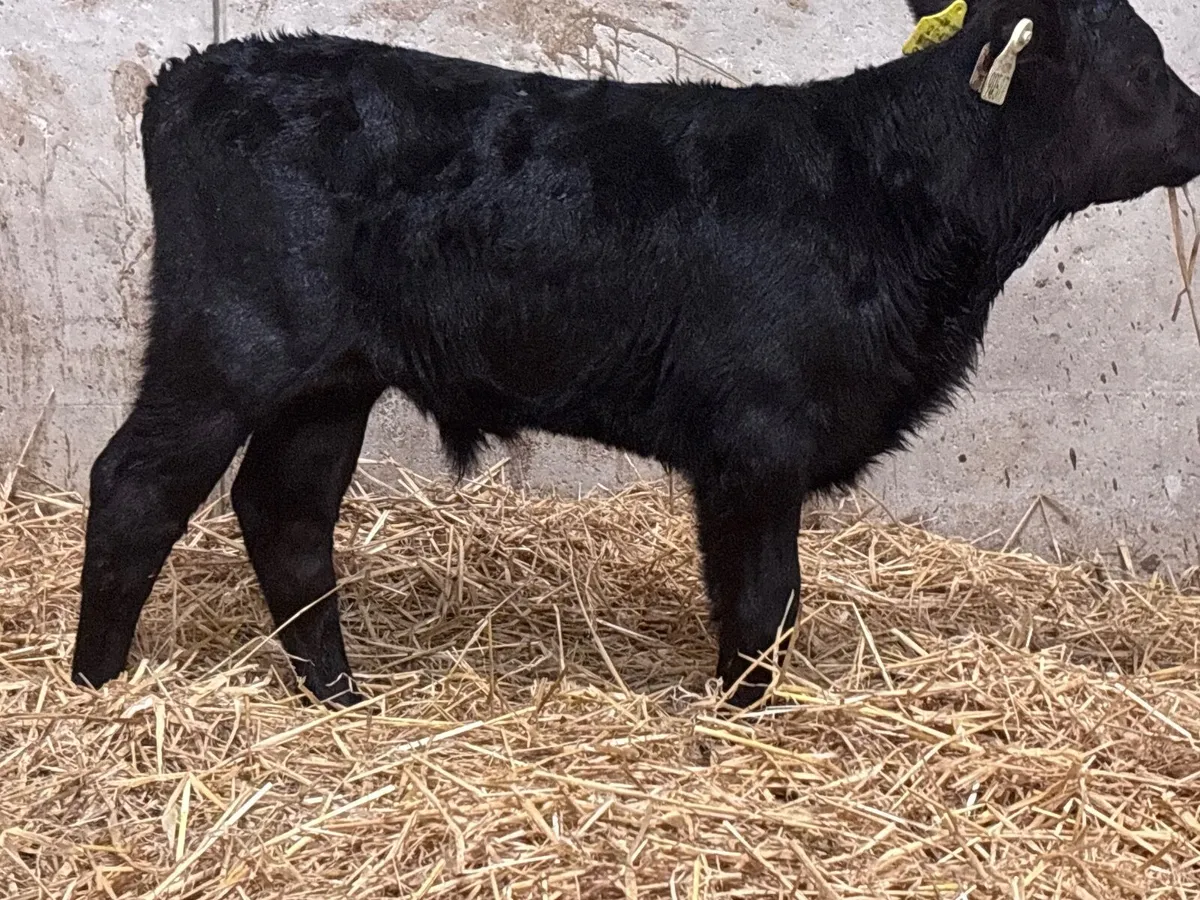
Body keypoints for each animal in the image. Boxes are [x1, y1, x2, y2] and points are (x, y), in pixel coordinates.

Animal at [70, 0, 1200, 708]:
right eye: (1146, 61)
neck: (888, 191)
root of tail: (197, 70)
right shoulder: (755, 440)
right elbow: (763, 602)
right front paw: (749, 721)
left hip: (332, 380)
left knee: (286, 511)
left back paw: (340, 697)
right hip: (227, 342)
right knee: (136, 483)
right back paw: (95, 683)